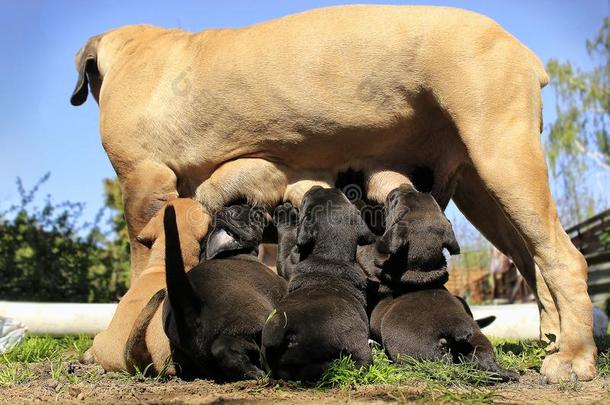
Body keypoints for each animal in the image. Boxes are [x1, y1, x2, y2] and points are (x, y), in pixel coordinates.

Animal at [160, 204, 286, 380]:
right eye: (254, 215)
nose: (257, 205)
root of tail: (188, 303)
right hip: (254, 321)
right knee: (225, 347)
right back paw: (255, 372)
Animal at [262, 188, 376, 380]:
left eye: (305, 202)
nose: (318, 187)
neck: (331, 256)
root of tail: (289, 330)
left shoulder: (287, 263)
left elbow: (286, 241)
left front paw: (286, 215)